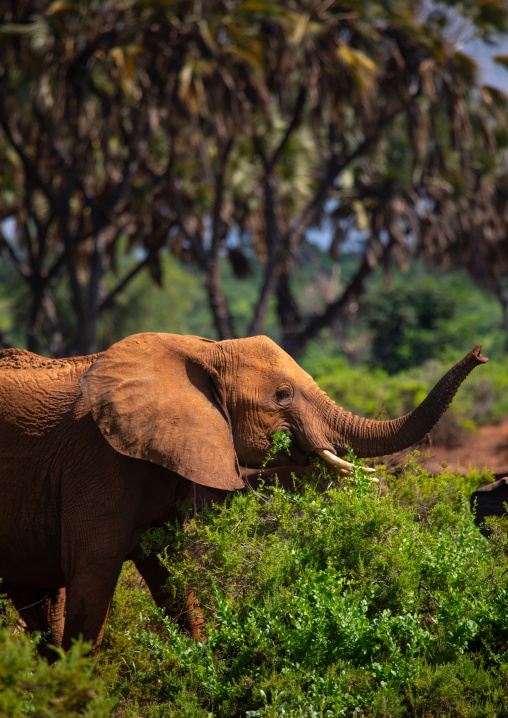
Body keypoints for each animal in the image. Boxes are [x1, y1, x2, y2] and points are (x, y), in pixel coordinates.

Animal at [0, 333, 487, 660]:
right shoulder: (97, 459)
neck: (201, 351)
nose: (480, 353)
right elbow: (93, 572)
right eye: (283, 395)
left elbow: (170, 569)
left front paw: (201, 665)